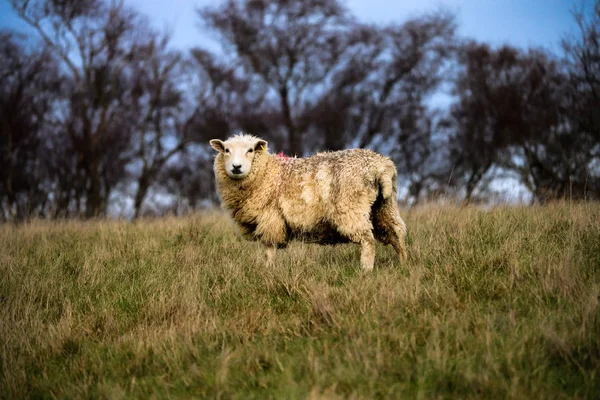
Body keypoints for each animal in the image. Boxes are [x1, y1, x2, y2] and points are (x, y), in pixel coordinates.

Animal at [210, 133, 408, 270]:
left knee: (368, 240)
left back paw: (365, 270)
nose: (236, 167)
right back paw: (403, 264)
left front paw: (268, 270)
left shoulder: (270, 218)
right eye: (226, 150)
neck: (267, 173)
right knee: (396, 233)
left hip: (351, 207)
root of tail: (381, 167)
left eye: (250, 150)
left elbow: (269, 248)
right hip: (385, 206)